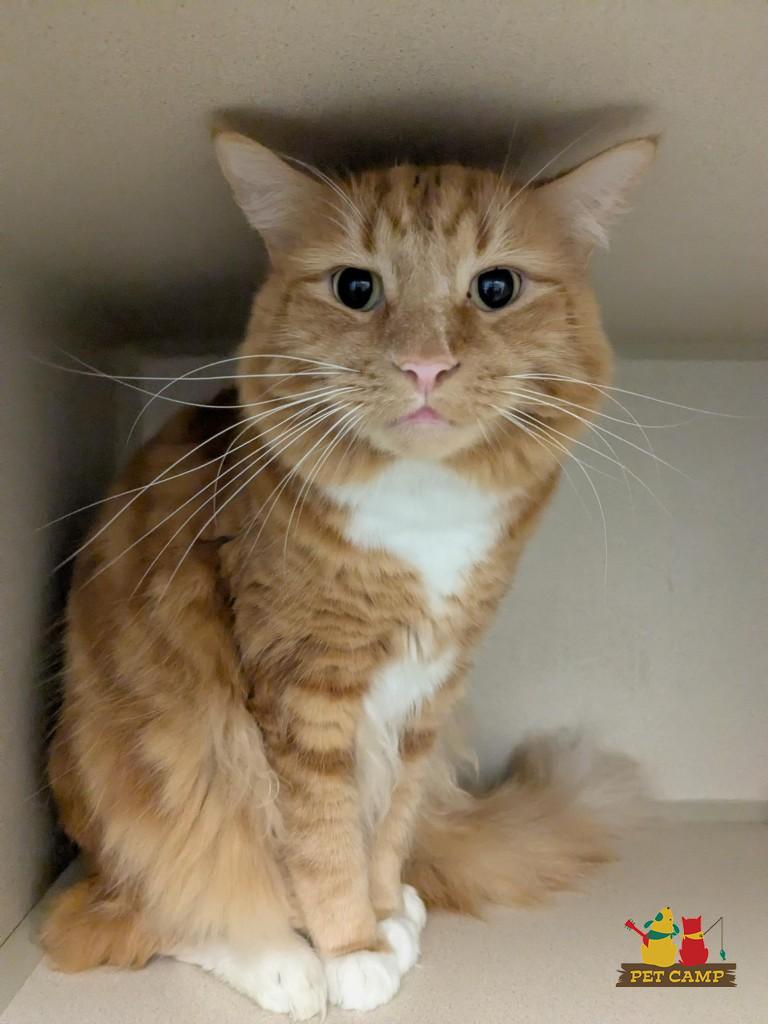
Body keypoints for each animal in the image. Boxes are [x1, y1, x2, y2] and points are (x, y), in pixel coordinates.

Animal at [42, 130, 654, 1017]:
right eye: (356, 288)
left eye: (496, 288)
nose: (427, 366)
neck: (425, 520)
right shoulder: (303, 689)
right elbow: (321, 839)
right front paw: (349, 948)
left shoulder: (431, 693)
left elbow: (386, 827)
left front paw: (383, 911)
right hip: (155, 766)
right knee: (138, 913)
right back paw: (278, 960)